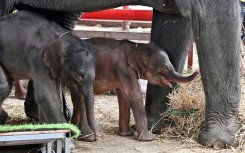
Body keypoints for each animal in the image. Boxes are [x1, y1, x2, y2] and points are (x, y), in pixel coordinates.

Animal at [71, 37, 199, 141]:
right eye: (164, 68)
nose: (197, 71)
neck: (136, 46)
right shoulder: (124, 68)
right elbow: (134, 95)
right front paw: (149, 139)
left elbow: (123, 96)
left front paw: (126, 134)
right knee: (81, 101)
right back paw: (88, 137)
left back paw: (73, 133)